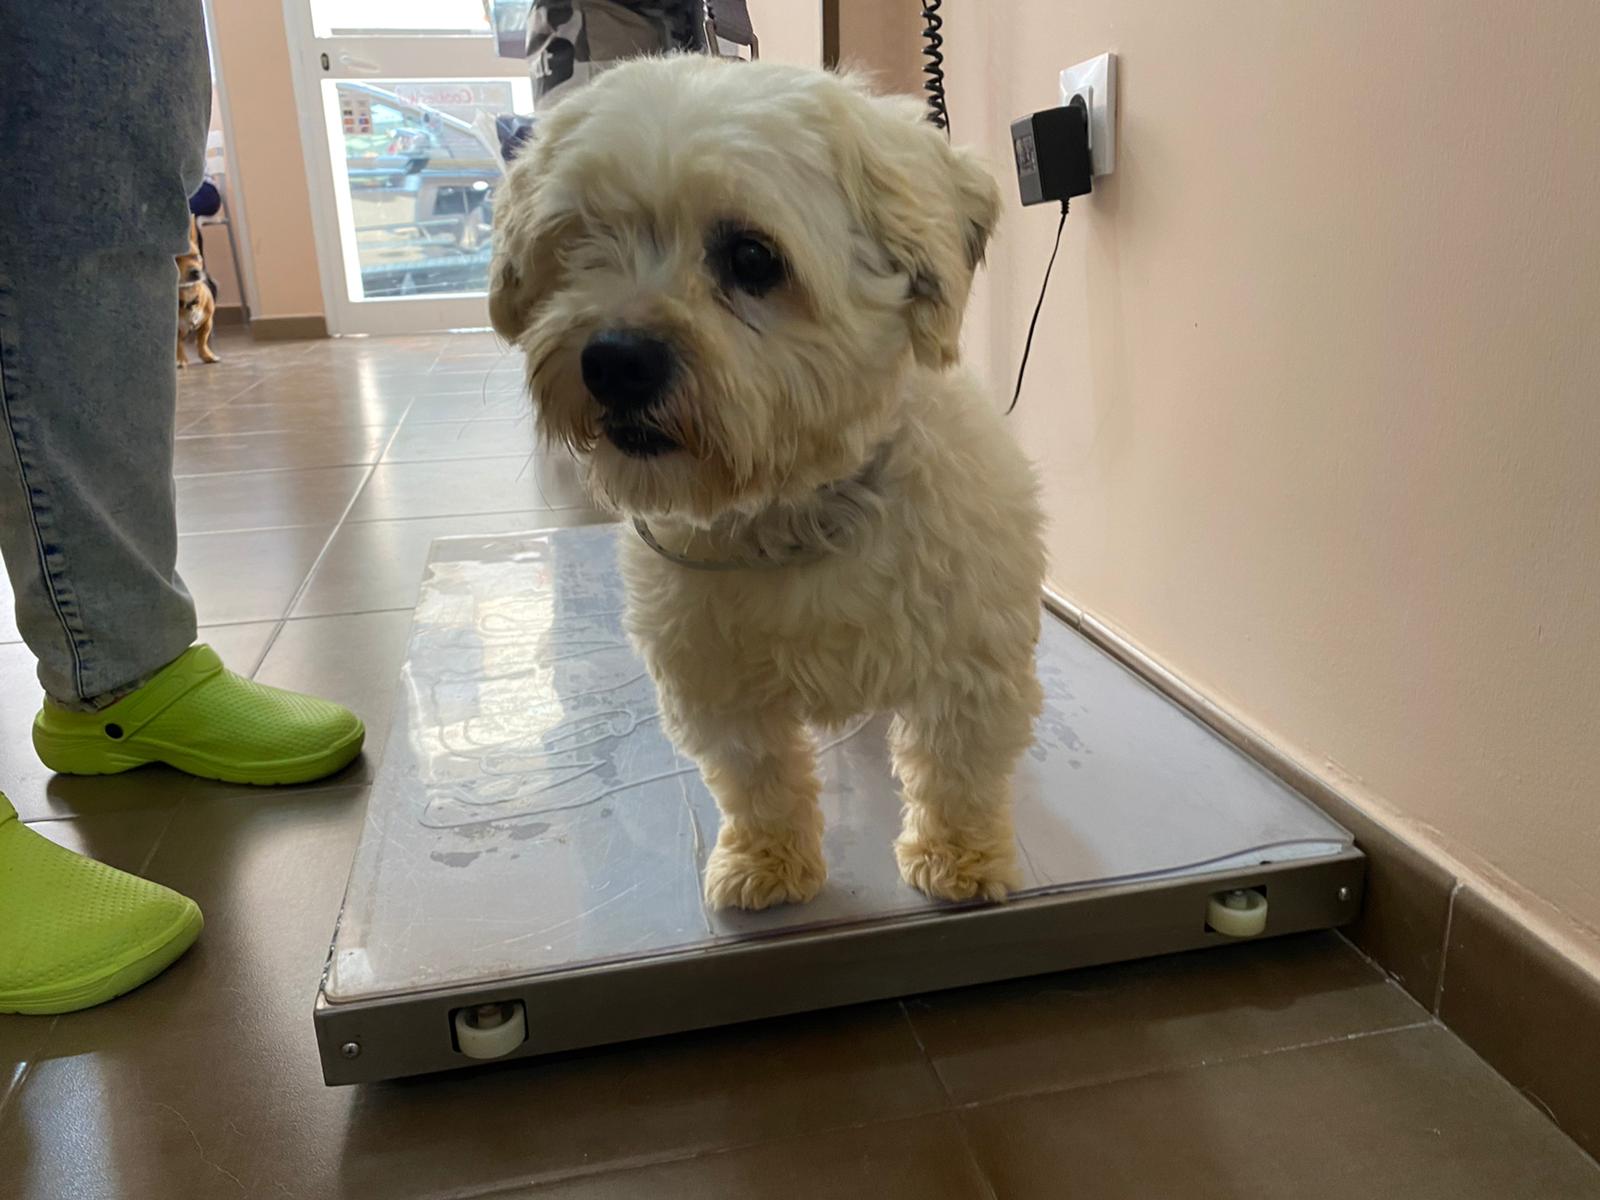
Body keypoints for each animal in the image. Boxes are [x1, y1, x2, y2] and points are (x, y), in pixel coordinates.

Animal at [175, 215, 219, 368]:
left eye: (197, 257)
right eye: (176, 260)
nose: (195, 271)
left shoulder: (207, 322)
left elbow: (202, 341)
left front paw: (207, 355)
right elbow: (177, 344)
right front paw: (180, 360)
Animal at [490, 56, 1045, 911]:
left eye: (752, 258)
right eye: (579, 242)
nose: (614, 358)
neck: (796, 510)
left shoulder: (969, 666)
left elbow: (958, 770)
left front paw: (961, 858)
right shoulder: (715, 685)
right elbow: (757, 777)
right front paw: (768, 859)